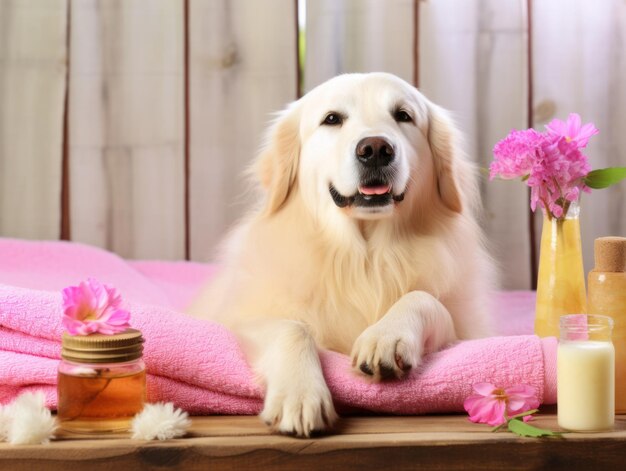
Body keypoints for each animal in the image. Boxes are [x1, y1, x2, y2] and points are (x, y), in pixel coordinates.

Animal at [188, 72, 490, 436]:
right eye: (332, 119)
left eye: (403, 115)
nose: (375, 149)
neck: (363, 256)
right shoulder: (242, 320)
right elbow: (292, 328)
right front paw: (300, 394)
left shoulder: (465, 331)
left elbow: (423, 298)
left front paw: (386, 335)